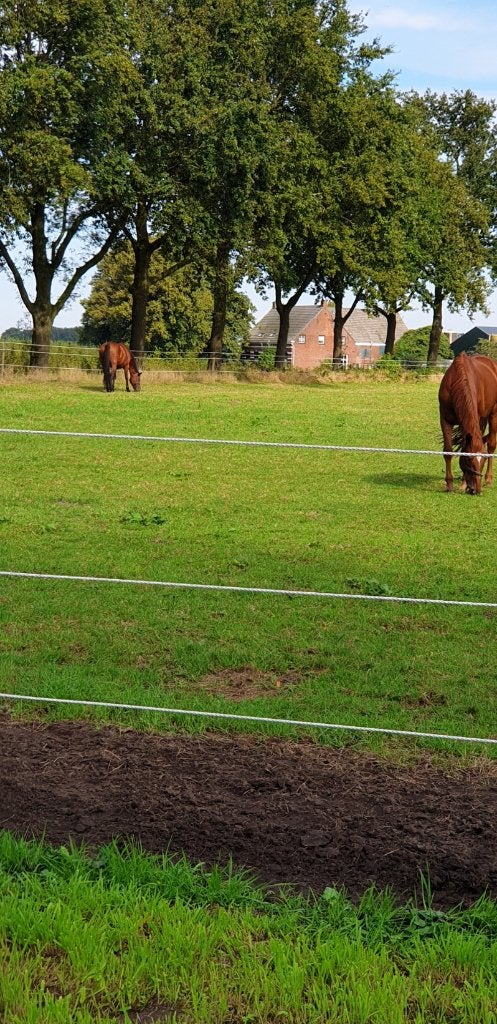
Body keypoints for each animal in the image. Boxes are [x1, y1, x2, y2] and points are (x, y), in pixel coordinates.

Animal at [438, 352, 497, 494]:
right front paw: (449, 484)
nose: (476, 490)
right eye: (469, 460)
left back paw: (488, 479)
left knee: (491, 445)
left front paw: (463, 484)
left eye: (483, 460)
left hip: (493, 414)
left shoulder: (477, 418)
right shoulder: (445, 420)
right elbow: (448, 450)